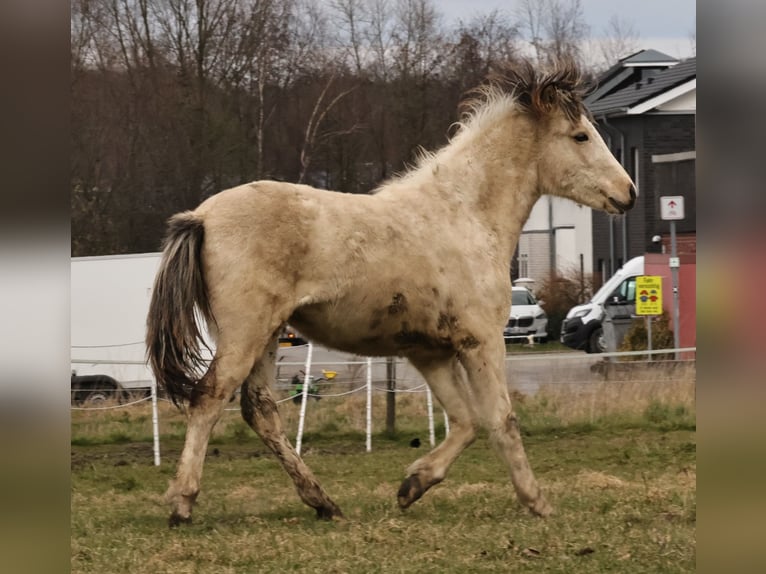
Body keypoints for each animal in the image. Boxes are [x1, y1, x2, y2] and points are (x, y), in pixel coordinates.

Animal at [146, 59, 636, 527]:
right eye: (579, 135)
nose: (627, 193)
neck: (466, 215)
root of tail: (202, 217)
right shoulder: (481, 341)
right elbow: (500, 418)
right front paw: (537, 503)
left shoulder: (430, 352)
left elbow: (465, 421)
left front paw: (413, 485)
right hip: (245, 332)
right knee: (209, 398)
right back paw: (182, 503)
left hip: (267, 334)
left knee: (261, 411)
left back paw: (324, 503)